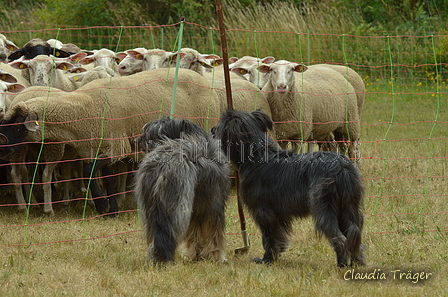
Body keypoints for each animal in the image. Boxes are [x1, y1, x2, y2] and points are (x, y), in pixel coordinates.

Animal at [133, 116, 231, 264]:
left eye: (149, 133)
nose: (136, 141)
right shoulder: (213, 207)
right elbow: (213, 235)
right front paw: (215, 256)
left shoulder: (196, 210)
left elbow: (194, 234)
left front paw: (195, 255)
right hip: (175, 206)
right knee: (166, 232)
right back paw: (164, 260)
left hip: (151, 206)